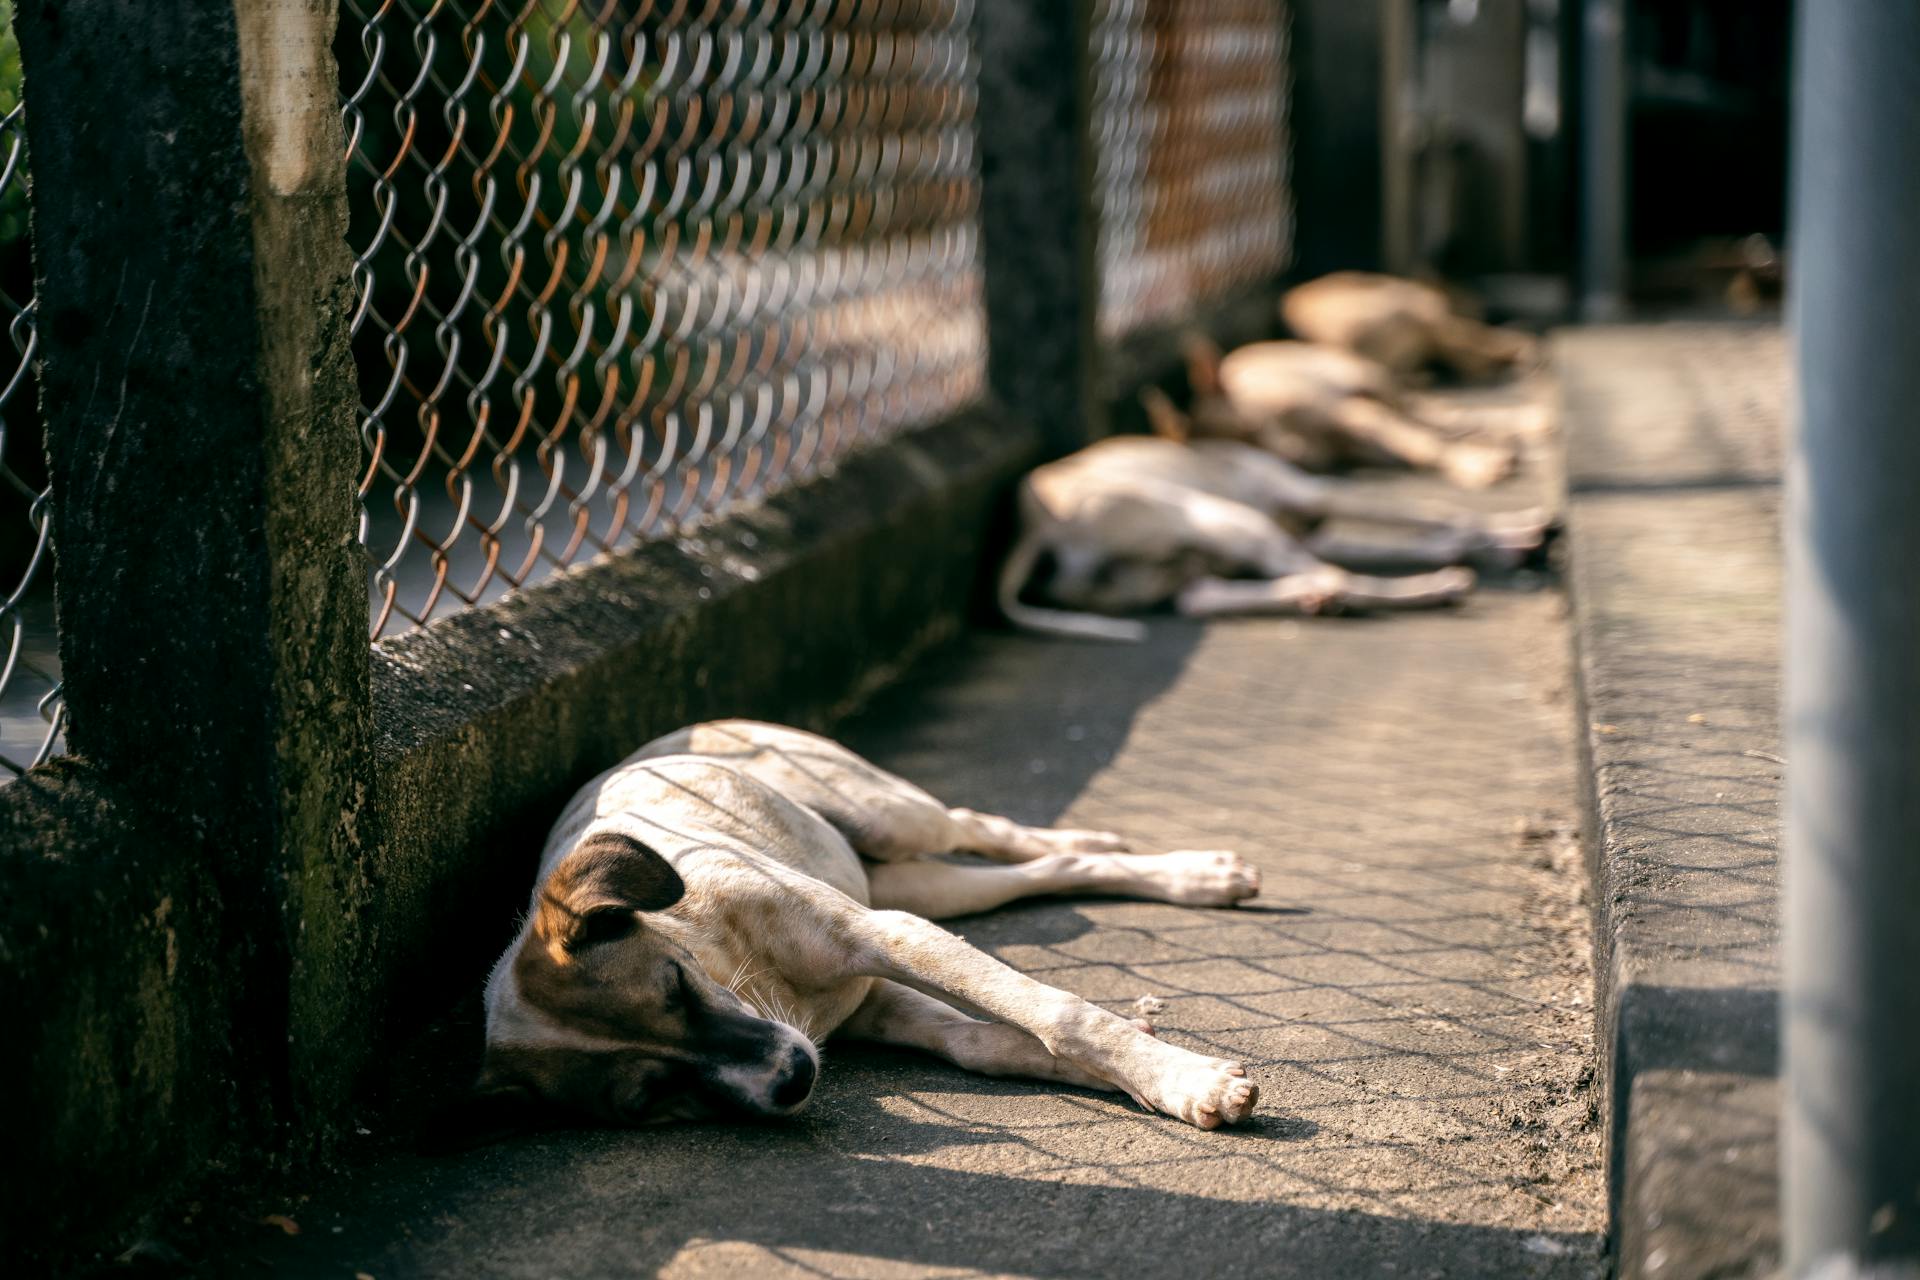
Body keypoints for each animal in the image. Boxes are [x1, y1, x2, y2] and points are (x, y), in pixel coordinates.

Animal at [462, 725, 1267, 1136]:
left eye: (675, 986)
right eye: (648, 1098)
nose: (794, 1078)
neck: (734, 967)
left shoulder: (886, 935)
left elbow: (1057, 1015)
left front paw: (1182, 1078)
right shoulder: (875, 999)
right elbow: (986, 1042)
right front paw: (1150, 1076)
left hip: (890, 818)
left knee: (981, 826)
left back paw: (1192, 869)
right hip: (918, 883)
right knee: (1045, 869)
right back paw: (1185, 876)